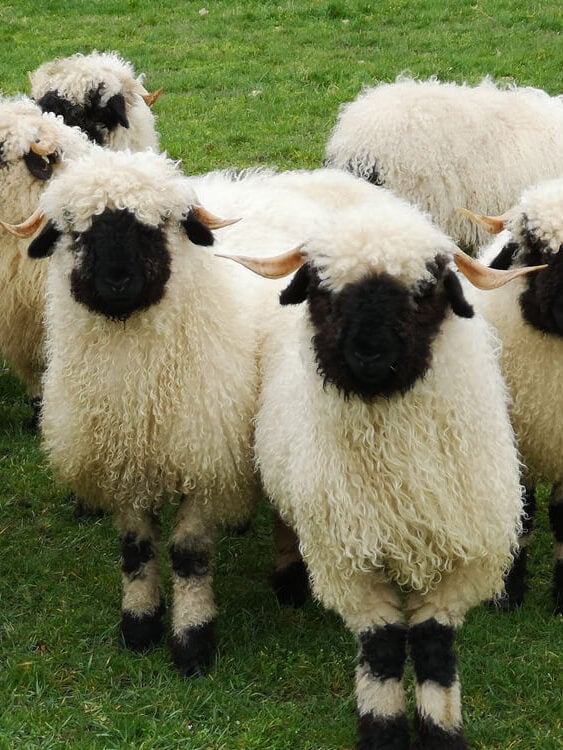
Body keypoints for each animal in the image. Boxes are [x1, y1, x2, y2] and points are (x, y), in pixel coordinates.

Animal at [219, 192, 542, 748]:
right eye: (322, 289)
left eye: (426, 290)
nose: (369, 354)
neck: (394, 469)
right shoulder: (351, 562)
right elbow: (383, 650)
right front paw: (383, 733)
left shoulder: (461, 558)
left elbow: (434, 650)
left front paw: (442, 734)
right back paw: (289, 582)